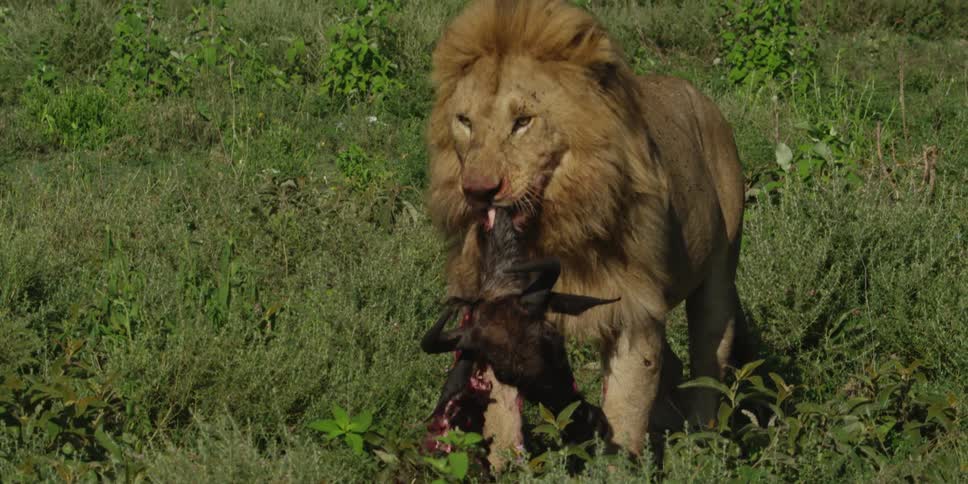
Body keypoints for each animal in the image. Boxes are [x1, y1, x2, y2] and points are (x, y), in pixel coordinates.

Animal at [426, 0, 750, 466]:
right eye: (465, 122)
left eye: (523, 121)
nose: (479, 190)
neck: (554, 229)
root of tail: (702, 98)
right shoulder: (493, 317)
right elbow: (501, 418)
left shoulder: (634, 308)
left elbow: (626, 411)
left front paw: (619, 465)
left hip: (721, 271)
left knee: (710, 358)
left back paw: (702, 447)